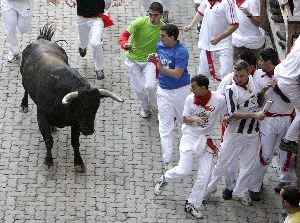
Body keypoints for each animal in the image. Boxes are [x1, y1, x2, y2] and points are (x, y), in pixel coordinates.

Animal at [19, 25, 123, 172]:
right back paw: (24, 105)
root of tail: (42, 39)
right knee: (25, 89)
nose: (89, 131)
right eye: (81, 107)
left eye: (96, 107)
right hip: (23, 77)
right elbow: (48, 140)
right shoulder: (42, 115)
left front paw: (79, 162)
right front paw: (48, 162)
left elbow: (75, 142)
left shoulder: (76, 122)